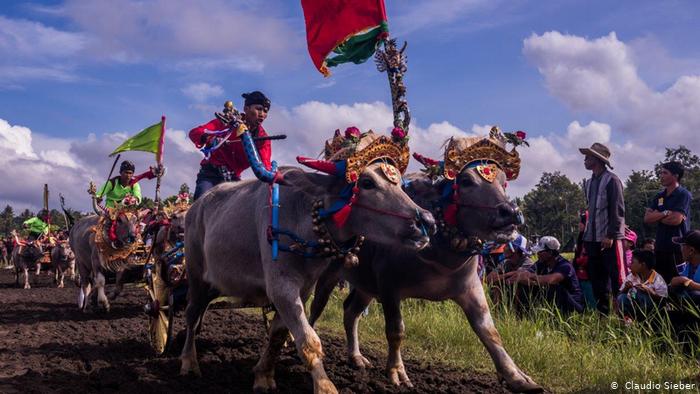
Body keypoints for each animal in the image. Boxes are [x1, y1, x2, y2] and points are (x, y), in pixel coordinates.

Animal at [180, 162, 432, 392]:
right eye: (367, 182)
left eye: (399, 184)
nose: (427, 220)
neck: (306, 223)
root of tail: (195, 207)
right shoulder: (281, 286)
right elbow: (309, 340)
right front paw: (325, 387)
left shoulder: (303, 289)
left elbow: (278, 334)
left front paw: (263, 375)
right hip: (195, 274)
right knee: (191, 313)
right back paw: (189, 362)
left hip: (214, 283)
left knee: (201, 309)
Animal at [308, 137, 544, 392]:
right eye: (466, 181)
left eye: (503, 182)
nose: (510, 212)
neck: (439, 252)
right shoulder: (389, 287)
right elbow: (396, 330)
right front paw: (397, 371)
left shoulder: (471, 288)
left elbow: (489, 332)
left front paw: (517, 376)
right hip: (329, 274)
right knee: (315, 306)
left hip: (365, 285)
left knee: (351, 311)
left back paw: (356, 356)